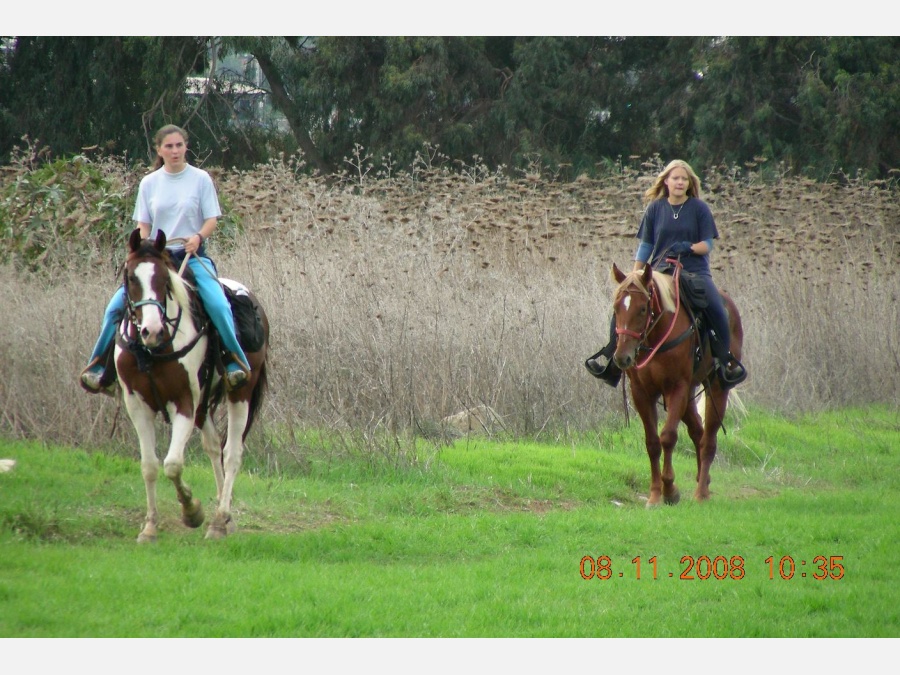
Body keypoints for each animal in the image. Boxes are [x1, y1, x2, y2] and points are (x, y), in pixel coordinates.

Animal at [114, 232, 268, 544]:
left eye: (165, 279)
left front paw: (192, 511)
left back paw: (220, 520)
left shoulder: (183, 400)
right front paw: (149, 527)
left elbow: (172, 463)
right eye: (131, 277)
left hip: (240, 393)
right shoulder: (136, 404)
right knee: (214, 447)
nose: (151, 330)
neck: (153, 351)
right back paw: (225, 518)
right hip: (203, 404)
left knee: (232, 453)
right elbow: (149, 466)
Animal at [612, 262, 744, 508]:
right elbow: (652, 442)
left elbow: (668, 437)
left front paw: (670, 490)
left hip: (716, 388)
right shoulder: (641, 393)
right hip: (689, 394)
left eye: (642, 309)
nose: (622, 357)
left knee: (708, 439)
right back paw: (704, 481)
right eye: (616, 308)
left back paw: (701, 493)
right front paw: (655, 495)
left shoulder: (677, 389)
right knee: (697, 432)